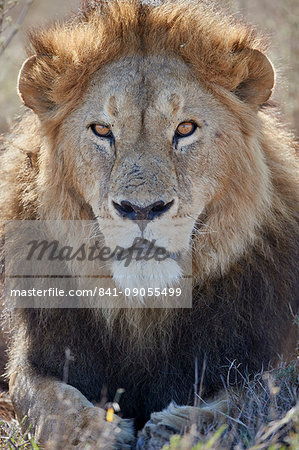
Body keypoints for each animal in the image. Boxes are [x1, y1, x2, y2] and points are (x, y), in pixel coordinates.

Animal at [0, 0, 298, 446]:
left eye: (185, 128)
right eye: (102, 129)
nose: (141, 209)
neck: (145, 305)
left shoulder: (268, 352)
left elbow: (252, 398)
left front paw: (176, 429)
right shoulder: (39, 356)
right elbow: (51, 404)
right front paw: (97, 433)